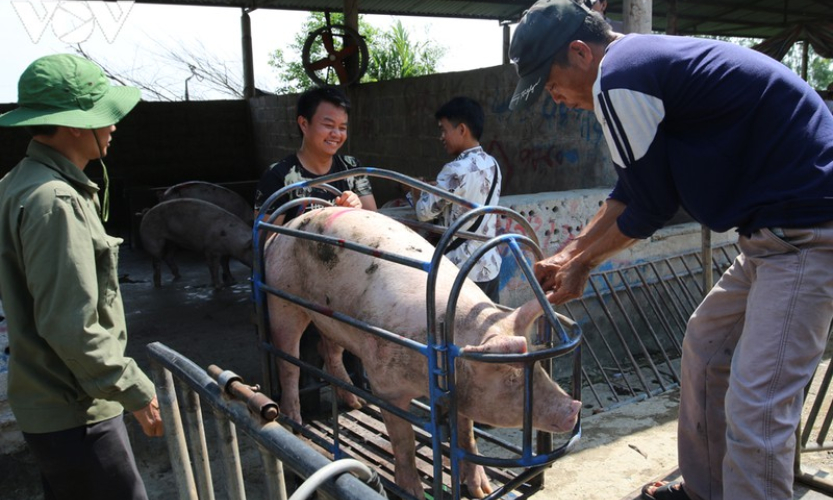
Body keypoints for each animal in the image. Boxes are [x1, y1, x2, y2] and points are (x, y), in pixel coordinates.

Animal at [266, 205, 580, 498]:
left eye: (538, 368)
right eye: (510, 378)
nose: (574, 407)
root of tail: (284, 226)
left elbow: (467, 436)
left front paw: (482, 490)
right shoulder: (386, 386)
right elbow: (403, 441)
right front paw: (414, 492)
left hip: (331, 316)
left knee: (328, 348)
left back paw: (356, 403)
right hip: (281, 296)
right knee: (288, 362)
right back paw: (294, 423)